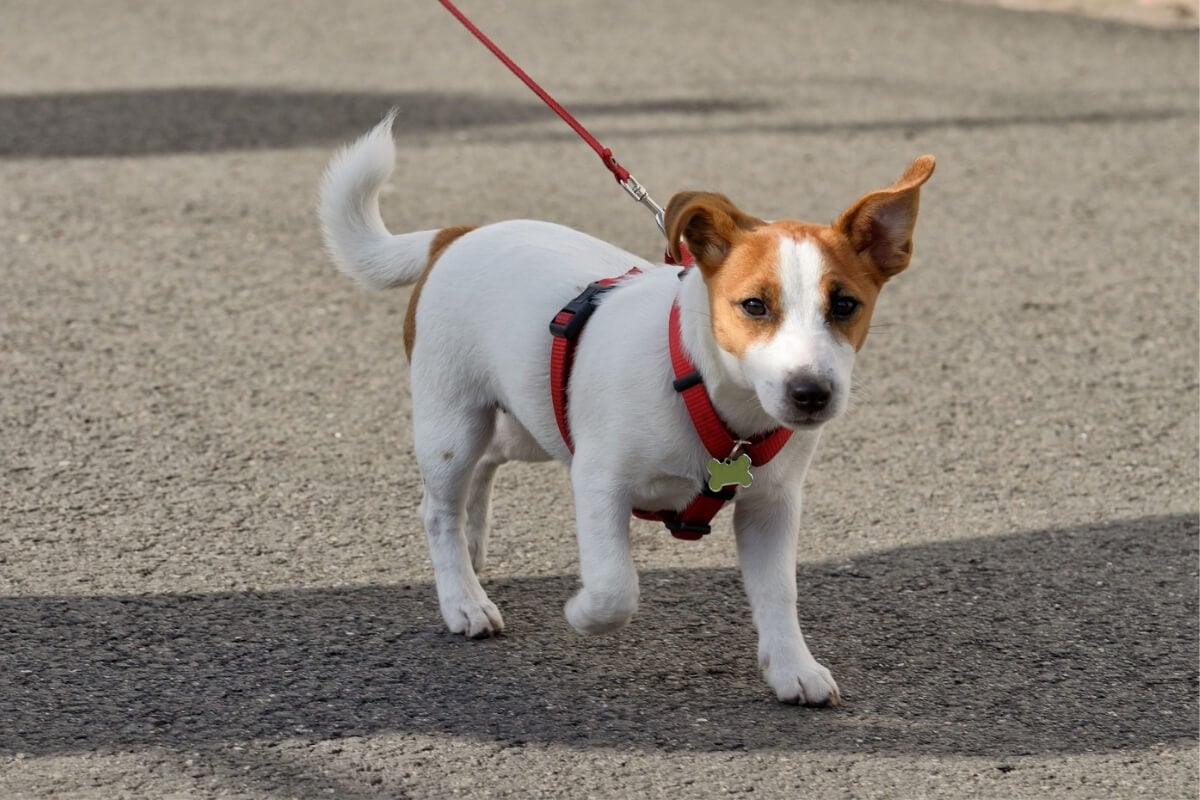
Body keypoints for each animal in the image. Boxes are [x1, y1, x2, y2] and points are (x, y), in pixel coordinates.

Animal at [316, 109, 926, 705]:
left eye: (845, 305)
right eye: (754, 306)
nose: (810, 392)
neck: (704, 389)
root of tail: (456, 236)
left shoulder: (771, 507)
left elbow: (780, 592)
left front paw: (792, 668)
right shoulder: (598, 481)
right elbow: (616, 588)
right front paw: (582, 612)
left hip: (532, 417)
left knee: (487, 463)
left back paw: (472, 546)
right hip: (452, 423)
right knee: (438, 508)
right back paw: (463, 598)